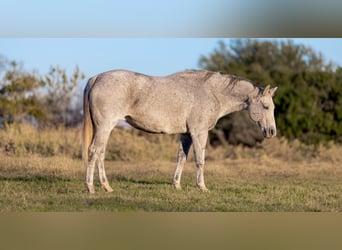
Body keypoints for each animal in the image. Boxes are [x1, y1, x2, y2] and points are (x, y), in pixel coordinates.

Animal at [83, 69, 278, 192]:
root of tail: (97, 78)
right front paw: (202, 187)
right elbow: (200, 160)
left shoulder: (186, 134)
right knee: (94, 151)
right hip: (105, 127)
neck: (212, 93)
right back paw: (91, 187)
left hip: (105, 129)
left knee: (100, 154)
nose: (271, 132)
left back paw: (106, 187)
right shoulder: (199, 132)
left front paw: (176, 185)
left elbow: (181, 158)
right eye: (266, 106)